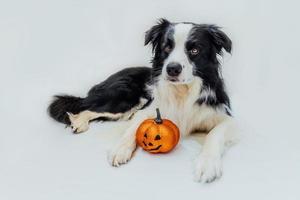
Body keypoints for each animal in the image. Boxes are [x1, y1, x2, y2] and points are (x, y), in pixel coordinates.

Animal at [48, 18, 238, 183]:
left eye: (194, 50)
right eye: (166, 47)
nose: (172, 68)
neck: (182, 91)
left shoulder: (225, 117)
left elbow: (215, 133)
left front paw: (207, 164)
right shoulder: (148, 109)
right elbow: (132, 129)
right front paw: (120, 149)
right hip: (123, 98)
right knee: (86, 107)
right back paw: (79, 123)